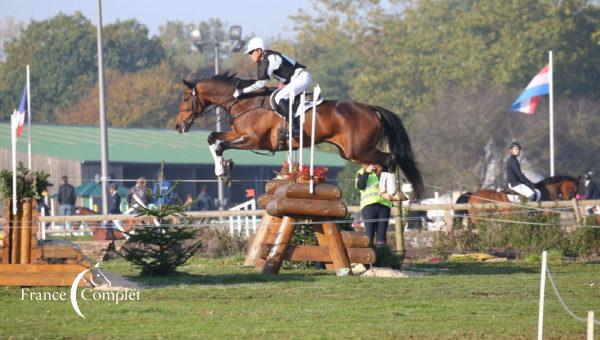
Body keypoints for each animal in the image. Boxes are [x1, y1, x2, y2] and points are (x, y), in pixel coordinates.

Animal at [173, 72, 424, 199]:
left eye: (185, 98)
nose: (178, 126)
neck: (244, 102)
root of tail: (371, 108)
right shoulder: (238, 133)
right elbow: (213, 138)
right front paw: (225, 170)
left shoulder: (253, 139)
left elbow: (219, 144)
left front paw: (222, 170)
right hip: (352, 152)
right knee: (384, 162)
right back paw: (383, 189)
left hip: (358, 149)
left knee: (390, 159)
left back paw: (389, 190)